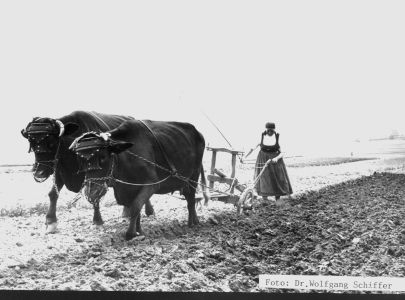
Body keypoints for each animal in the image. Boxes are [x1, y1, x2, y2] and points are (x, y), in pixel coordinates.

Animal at [21, 110, 155, 232]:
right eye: (31, 142)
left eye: (52, 142)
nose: (39, 173)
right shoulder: (59, 171)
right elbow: (53, 194)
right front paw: (51, 221)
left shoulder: (95, 176)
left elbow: (95, 197)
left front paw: (97, 221)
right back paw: (127, 212)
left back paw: (149, 211)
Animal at [70, 119, 208, 239]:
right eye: (80, 160)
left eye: (103, 157)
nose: (91, 192)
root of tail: (197, 132)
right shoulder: (129, 190)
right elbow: (136, 211)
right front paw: (139, 231)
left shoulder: (151, 184)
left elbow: (135, 207)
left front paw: (130, 233)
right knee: (189, 197)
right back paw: (195, 220)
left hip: (194, 176)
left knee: (191, 199)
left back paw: (192, 223)